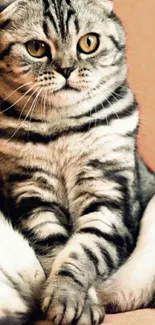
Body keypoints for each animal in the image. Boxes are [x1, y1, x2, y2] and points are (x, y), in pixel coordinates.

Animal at [0, 0, 154, 322]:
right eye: (36, 48)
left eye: (88, 43)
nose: (66, 69)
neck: (62, 129)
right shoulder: (32, 197)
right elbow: (57, 251)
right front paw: (77, 304)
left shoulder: (109, 195)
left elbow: (85, 250)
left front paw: (69, 298)